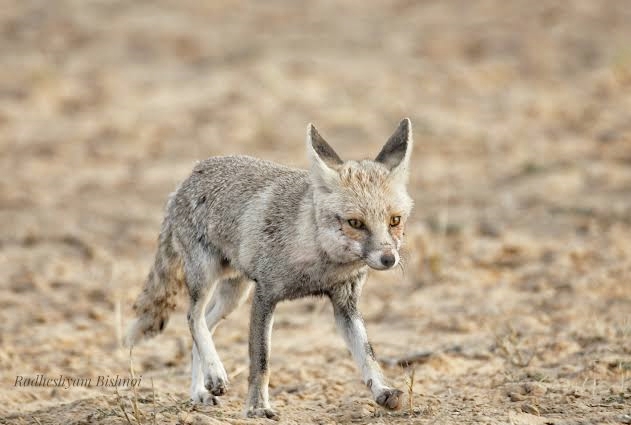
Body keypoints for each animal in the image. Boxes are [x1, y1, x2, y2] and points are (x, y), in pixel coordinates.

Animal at [126, 117, 418, 420]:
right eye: (355, 223)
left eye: (395, 220)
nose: (388, 259)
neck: (321, 264)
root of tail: (187, 178)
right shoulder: (265, 295)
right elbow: (261, 362)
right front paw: (257, 407)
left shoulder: (345, 306)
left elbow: (367, 354)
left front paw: (382, 391)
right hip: (205, 277)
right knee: (193, 318)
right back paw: (215, 374)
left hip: (234, 294)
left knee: (205, 324)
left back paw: (201, 389)